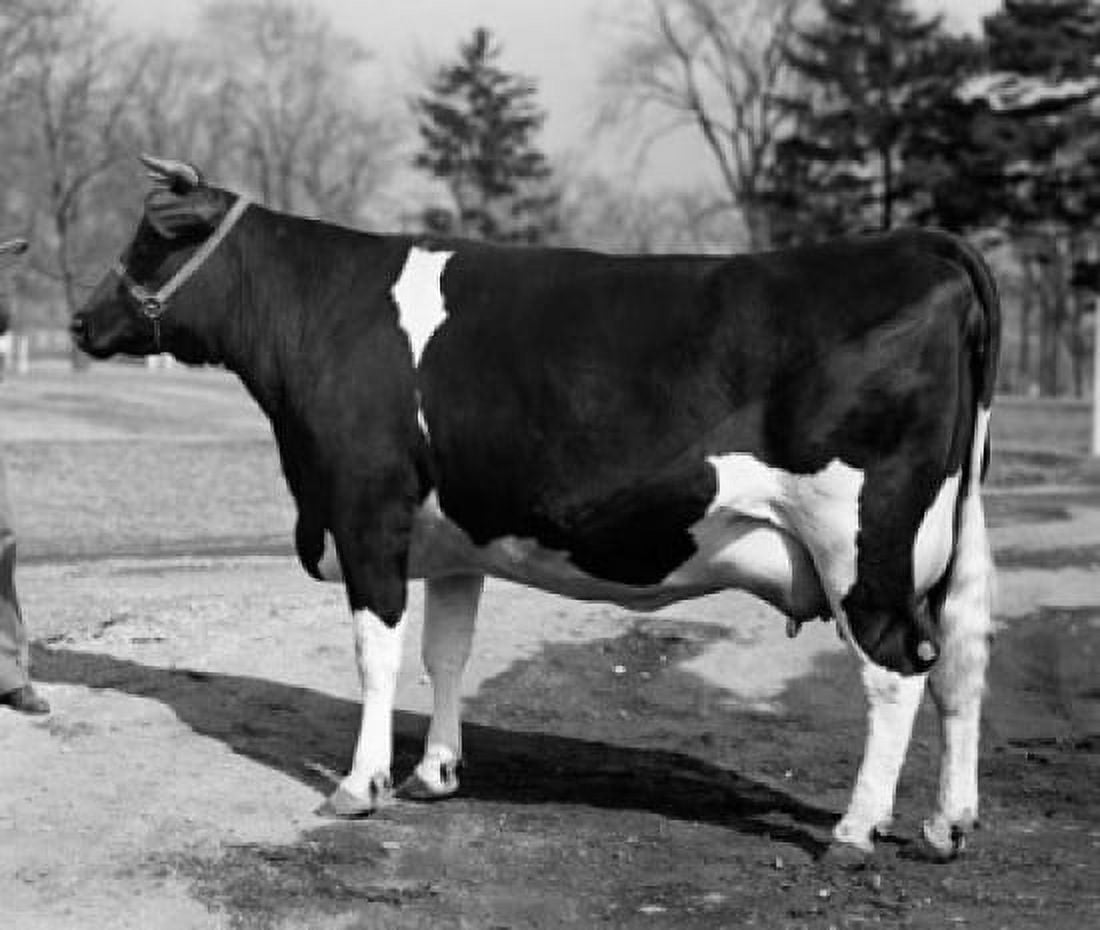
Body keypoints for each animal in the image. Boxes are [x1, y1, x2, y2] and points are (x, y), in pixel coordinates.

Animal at [71, 155, 999, 861]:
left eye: (153, 236)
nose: (81, 321)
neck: (322, 317)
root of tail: (920, 245)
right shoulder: (452, 538)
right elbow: (445, 653)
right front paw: (435, 773)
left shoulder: (366, 511)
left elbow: (378, 655)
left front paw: (360, 784)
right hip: (949, 538)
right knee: (959, 662)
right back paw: (945, 824)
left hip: (861, 546)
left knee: (894, 673)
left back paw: (853, 831)